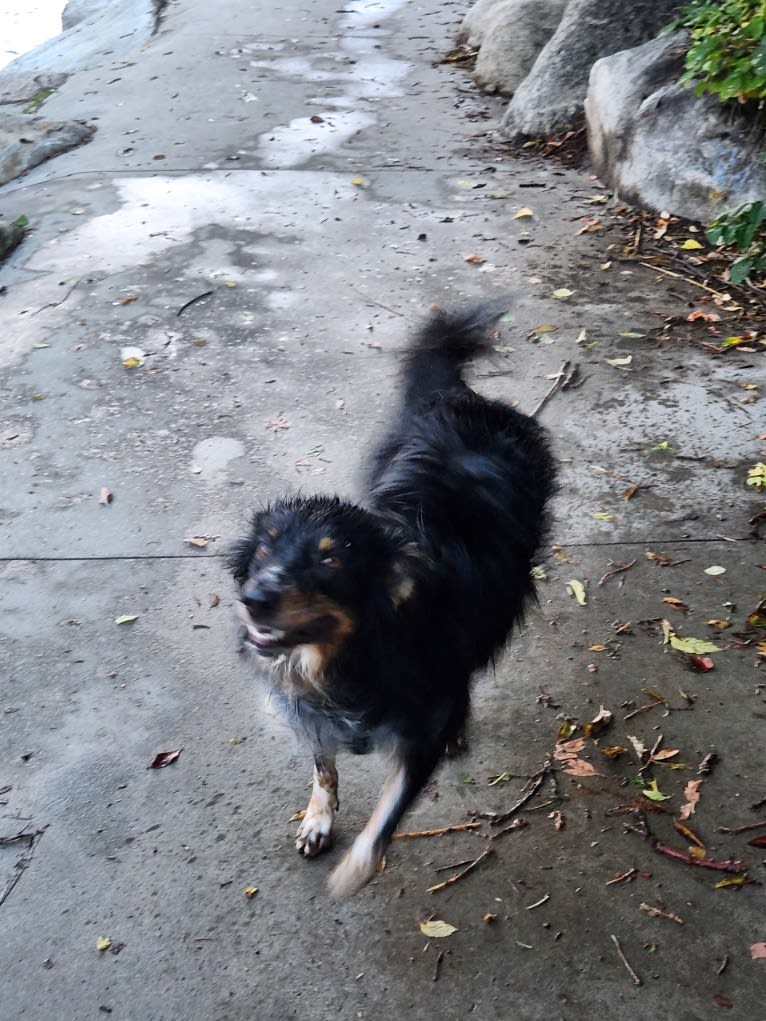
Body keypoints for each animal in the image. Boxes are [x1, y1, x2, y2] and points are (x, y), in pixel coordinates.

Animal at [230, 306, 555, 898]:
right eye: (264, 547)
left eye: (331, 561)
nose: (253, 598)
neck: (355, 658)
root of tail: (464, 396)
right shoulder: (313, 711)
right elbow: (323, 766)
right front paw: (318, 820)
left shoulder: (420, 726)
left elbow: (388, 810)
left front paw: (354, 870)